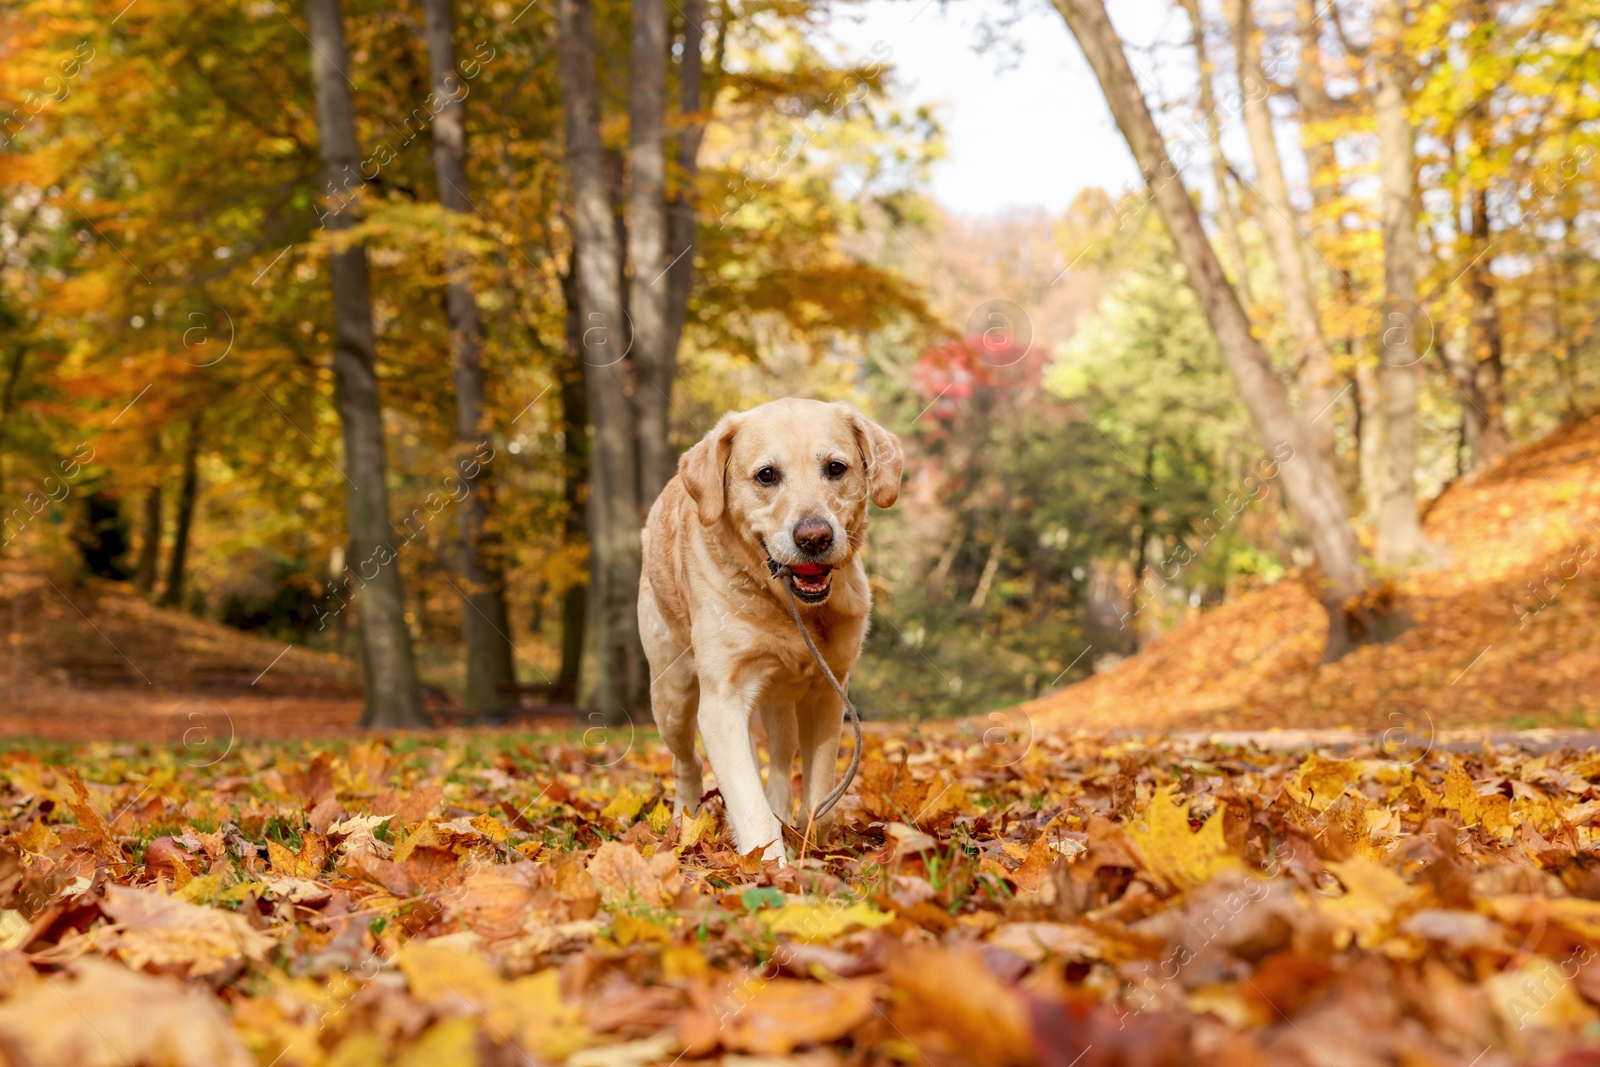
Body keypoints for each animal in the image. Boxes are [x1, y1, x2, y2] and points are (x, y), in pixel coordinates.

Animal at [643, 398, 908, 857]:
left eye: (836, 468)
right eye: (767, 475)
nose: (814, 537)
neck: (788, 606)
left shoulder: (828, 692)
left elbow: (818, 792)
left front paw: (810, 844)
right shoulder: (723, 700)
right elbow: (749, 801)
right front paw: (772, 865)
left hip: (780, 706)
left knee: (781, 763)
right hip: (672, 695)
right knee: (687, 762)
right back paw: (685, 822)